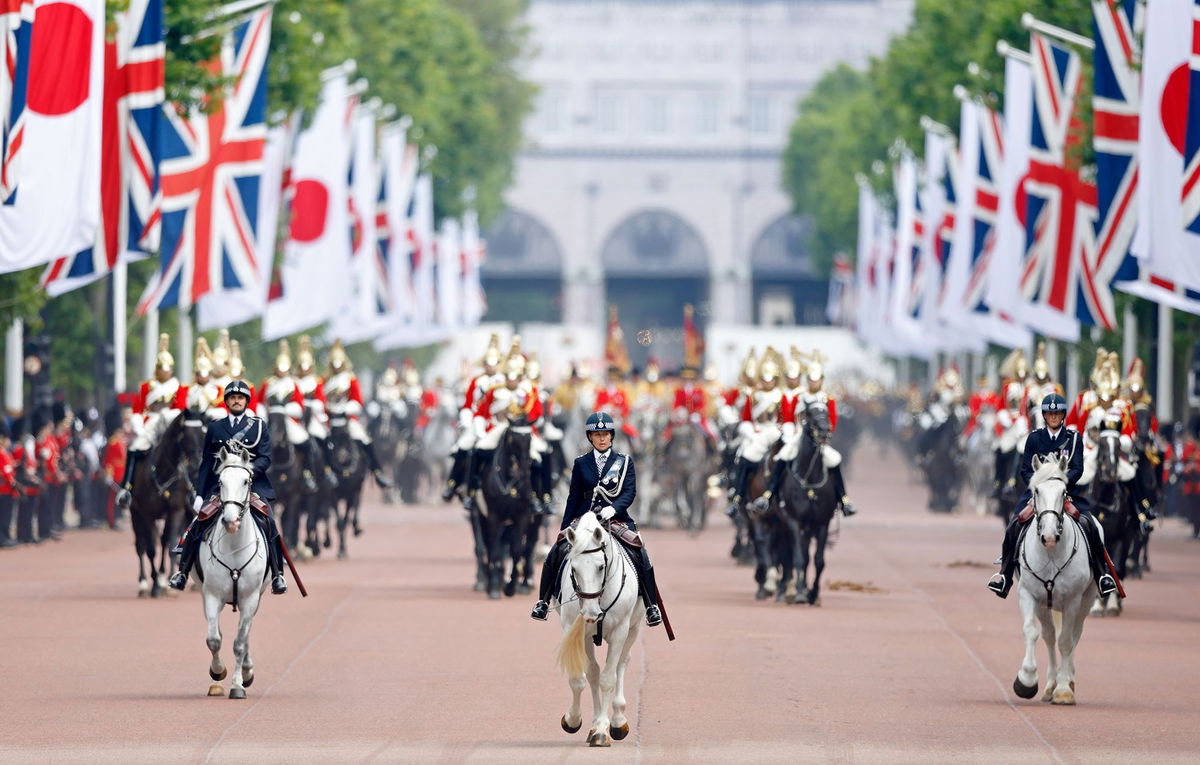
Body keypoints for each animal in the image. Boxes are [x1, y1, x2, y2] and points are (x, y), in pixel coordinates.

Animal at [130, 412, 202, 599]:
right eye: (187, 435)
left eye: (202, 434)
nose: (197, 464)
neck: (162, 472)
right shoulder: (147, 514)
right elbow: (150, 550)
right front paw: (156, 584)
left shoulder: (175, 511)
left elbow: (169, 544)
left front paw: (165, 582)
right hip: (135, 513)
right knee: (140, 546)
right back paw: (143, 584)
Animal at [198, 443, 268, 700]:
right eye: (220, 481)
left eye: (246, 481)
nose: (230, 521)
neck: (235, 546)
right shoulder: (211, 595)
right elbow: (213, 640)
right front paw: (218, 672)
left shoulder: (250, 598)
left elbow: (239, 642)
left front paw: (238, 684)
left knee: (245, 634)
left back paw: (246, 672)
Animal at [554, 515, 643, 748]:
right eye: (574, 568)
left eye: (601, 567)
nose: (591, 613)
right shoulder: (578, 632)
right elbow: (583, 677)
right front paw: (574, 720)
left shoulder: (620, 631)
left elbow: (608, 679)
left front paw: (603, 730)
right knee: (594, 672)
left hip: (633, 629)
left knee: (621, 663)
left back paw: (618, 721)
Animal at [772, 405, 840, 609]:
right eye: (810, 414)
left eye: (826, 412)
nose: (824, 432)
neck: (810, 479)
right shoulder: (794, 522)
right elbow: (798, 558)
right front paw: (801, 592)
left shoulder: (822, 523)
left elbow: (818, 561)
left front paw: (813, 593)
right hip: (784, 524)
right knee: (787, 554)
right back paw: (786, 590)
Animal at [1012, 455, 1099, 709]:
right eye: (1037, 490)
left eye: (1064, 492)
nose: (1049, 536)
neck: (1051, 553)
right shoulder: (1029, 595)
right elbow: (1032, 632)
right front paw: (1026, 680)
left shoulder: (1073, 600)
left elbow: (1066, 642)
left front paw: (1064, 690)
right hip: (1045, 605)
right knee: (1050, 636)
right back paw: (1050, 685)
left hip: (1085, 601)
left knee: (1073, 636)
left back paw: (1066, 680)